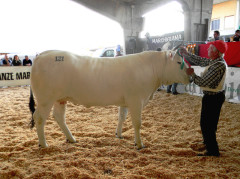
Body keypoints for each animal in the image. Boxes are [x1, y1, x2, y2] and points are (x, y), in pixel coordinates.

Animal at [29, 49, 189, 149]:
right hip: (45, 99)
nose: (191, 76)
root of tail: (42, 54)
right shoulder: (136, 100)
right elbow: (137, 123)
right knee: (39, 118)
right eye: (178, 62)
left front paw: (119, 135)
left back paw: (71, 139)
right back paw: (44, 144)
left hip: (60, 99)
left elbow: (122, 117)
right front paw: (139, 144)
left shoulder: (126, 101)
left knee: (59, 117)